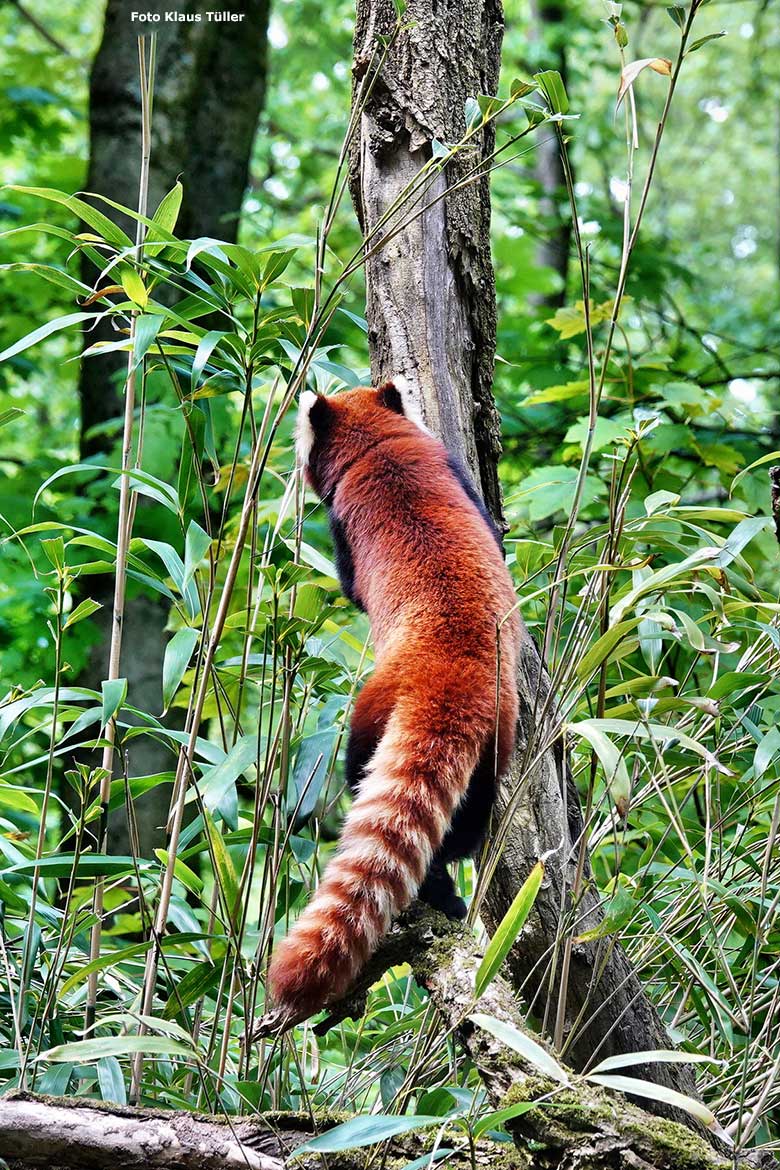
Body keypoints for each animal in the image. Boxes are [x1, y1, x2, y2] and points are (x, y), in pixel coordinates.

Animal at [266, 379, 519, 1020]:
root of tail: (452, 676)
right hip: (496, 740)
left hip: (374, 705)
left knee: (361, 768)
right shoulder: (455, 474)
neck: (377, 444)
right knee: (468, 825)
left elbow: (351, 583)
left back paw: (434, 891)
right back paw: (448, 888)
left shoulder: (344, 520)